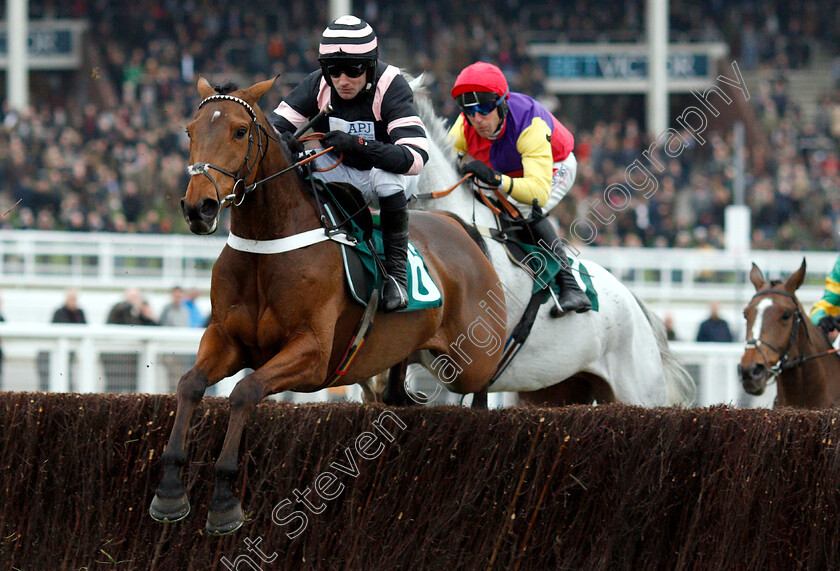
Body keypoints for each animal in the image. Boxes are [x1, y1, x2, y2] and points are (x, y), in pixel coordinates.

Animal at [149, 78, 506, 536]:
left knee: (483, 392)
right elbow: (189, 384)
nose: (199, 208)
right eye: (190, 131)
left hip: (473, 360)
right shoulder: (226, 339)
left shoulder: (313, 354)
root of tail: (459, 228)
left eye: (240, 132)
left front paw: (225, 499)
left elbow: (245, 392)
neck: (269, 244)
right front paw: (170, 489)